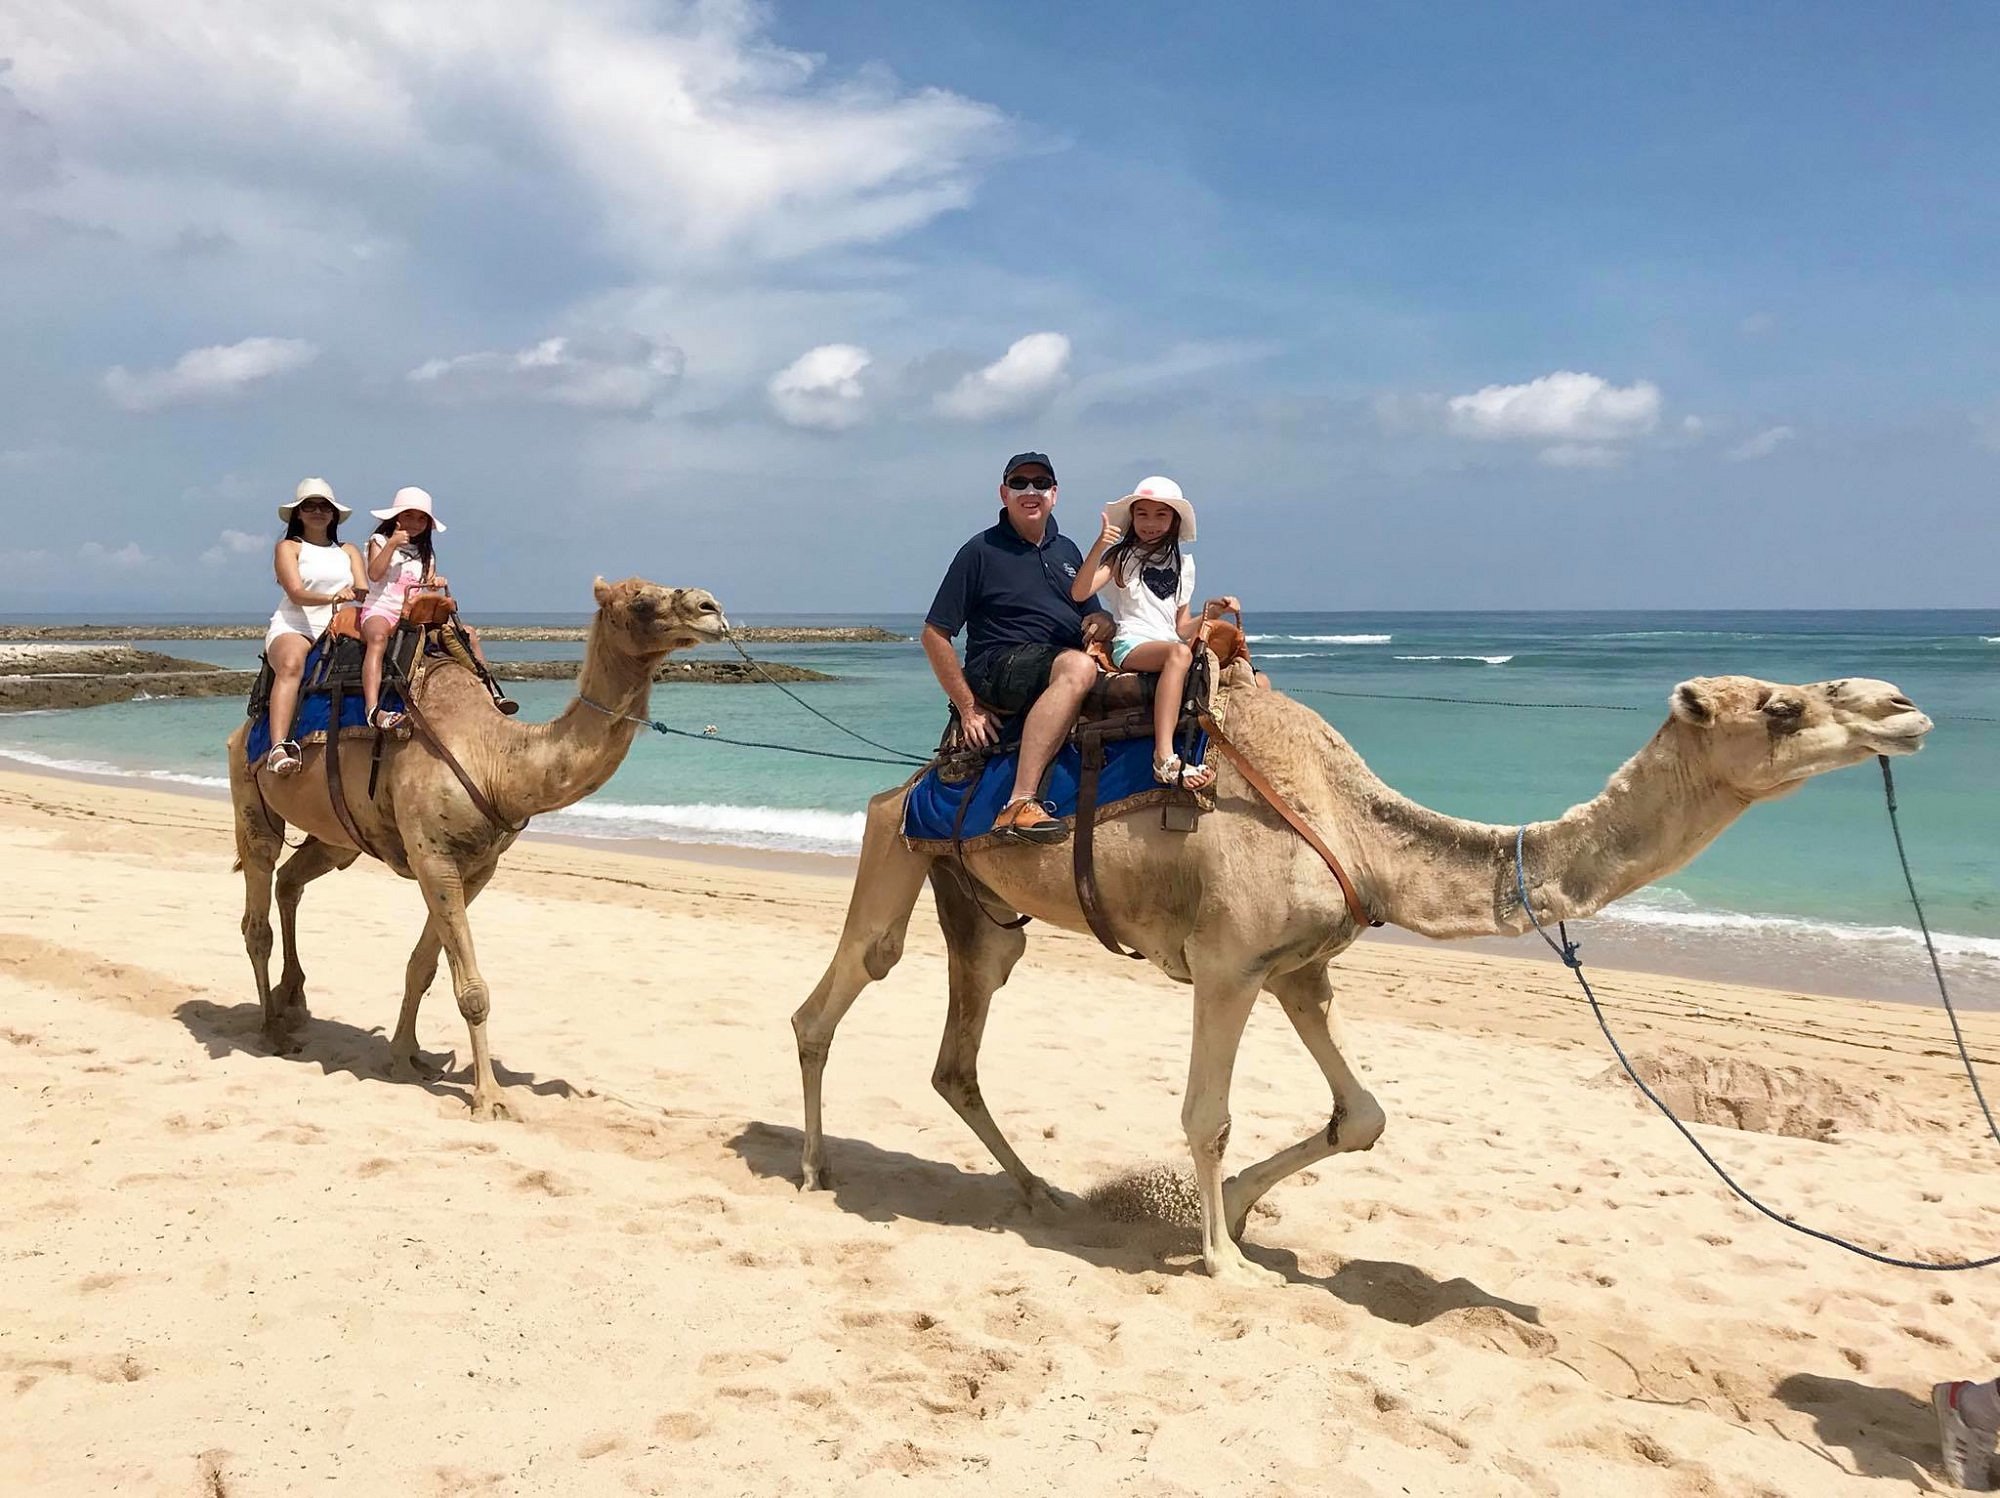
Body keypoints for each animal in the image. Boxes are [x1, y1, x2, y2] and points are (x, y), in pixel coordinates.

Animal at [226, 577, 725, 1119]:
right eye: (640, 600)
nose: (712, 609)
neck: (497, 762)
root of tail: (242, 728)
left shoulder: (478, 866)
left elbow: (421, 967)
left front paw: (404, 1057)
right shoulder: (433, 857)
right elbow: (472, 989)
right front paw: (490, 1097)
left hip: (339, 838)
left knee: (292, 880)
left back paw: (293, 999)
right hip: (249, 792)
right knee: (257, 907)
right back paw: (272, 1029)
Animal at [793, 669, 1933, 1285]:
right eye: (1781, 708)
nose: (1900, 706)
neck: (1355, 826)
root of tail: (912, 775)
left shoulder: (1300, 970)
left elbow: (1363, 1118)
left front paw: (1234, 1213)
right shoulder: (1225, 965)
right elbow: (1206, 1114)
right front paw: (1222, 1258)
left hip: (979, 903)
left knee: (960, 1043)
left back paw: (1037, 1190)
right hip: (896, 845)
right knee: (841, 988)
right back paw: (812, 1169)